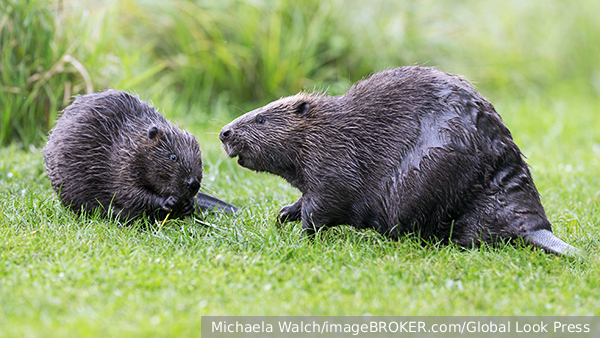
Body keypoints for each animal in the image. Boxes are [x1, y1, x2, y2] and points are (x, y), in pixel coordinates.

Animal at [45, 90, 237, 222]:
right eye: (173, 157)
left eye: (200, 160)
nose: (193, 184)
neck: (132, 140)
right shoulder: (120, 163)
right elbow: (129, 192)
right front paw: (169, 201)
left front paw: (188, 204)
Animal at [220, 65, 580, 256]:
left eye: (261, 119)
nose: (224, 133)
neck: (327, 129)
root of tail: (533, 226)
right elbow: (306, 200)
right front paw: (283, 215)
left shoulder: (334, 161)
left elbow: (323, 204)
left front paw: (301, 237)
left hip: (426, 173)